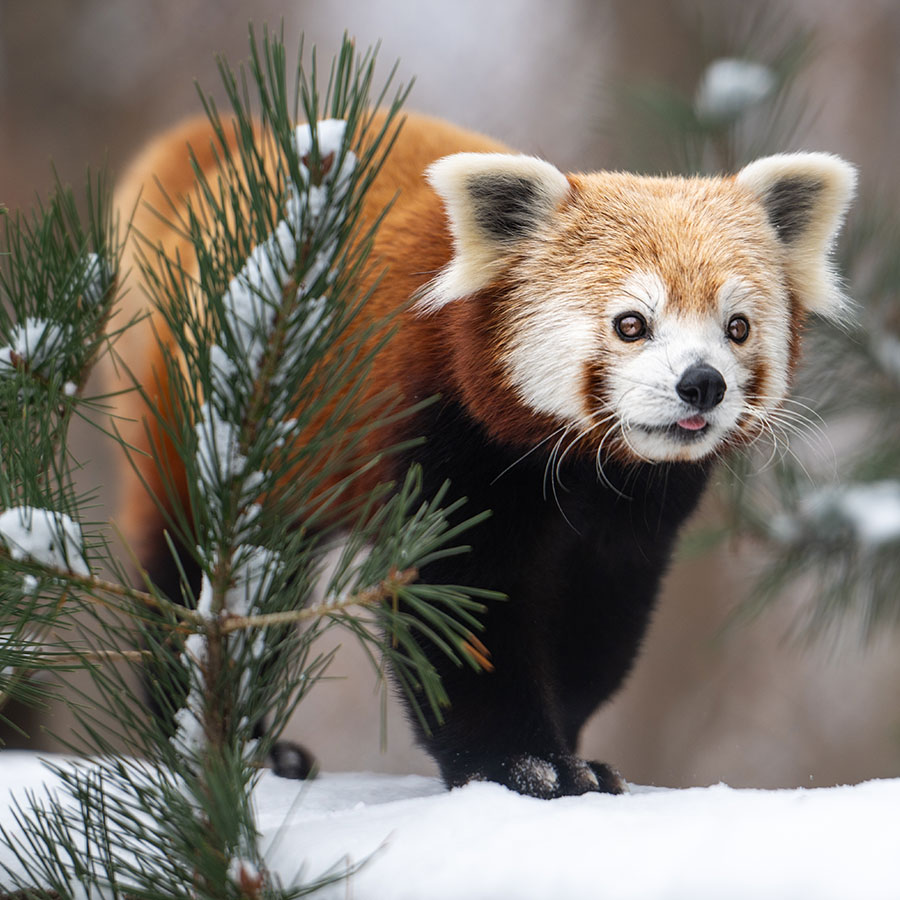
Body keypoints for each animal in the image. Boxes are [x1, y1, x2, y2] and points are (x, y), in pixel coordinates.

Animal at [103, 110, 852, 796]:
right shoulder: (447, 434)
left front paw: (573, 746)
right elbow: (457, 609)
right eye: (632, 324)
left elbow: (596, 624)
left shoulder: (635, 515)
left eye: (737, 328)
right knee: (195, 567)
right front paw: (526, 763)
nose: (702, 384)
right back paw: (214, 735)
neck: (583, 467)